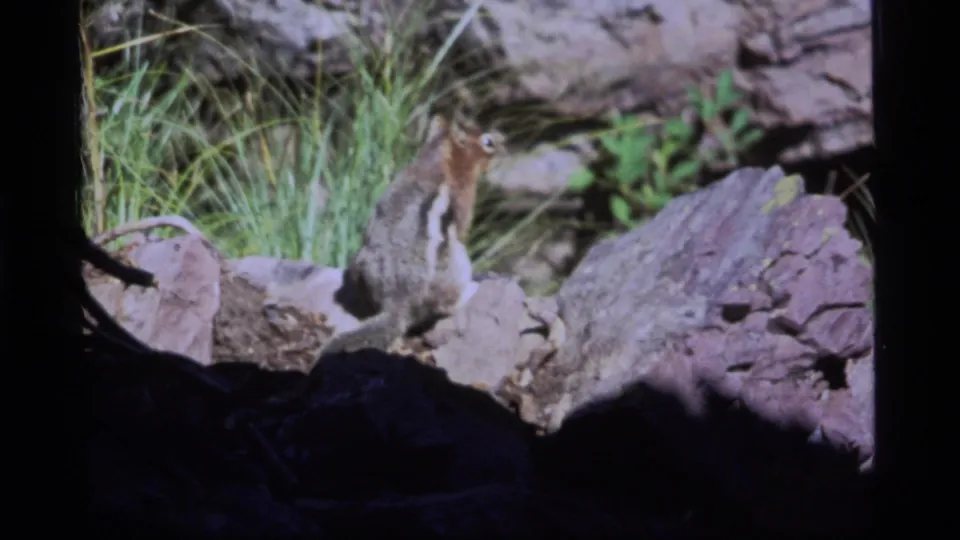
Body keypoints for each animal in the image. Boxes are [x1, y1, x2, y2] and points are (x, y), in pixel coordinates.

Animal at [318, 114, 507, 356]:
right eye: (488, 142)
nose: (505, 149)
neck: (439, 156)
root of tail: (397, 303)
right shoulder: (462, 201)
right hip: (457, 260)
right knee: (445, 306)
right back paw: (471, 289)